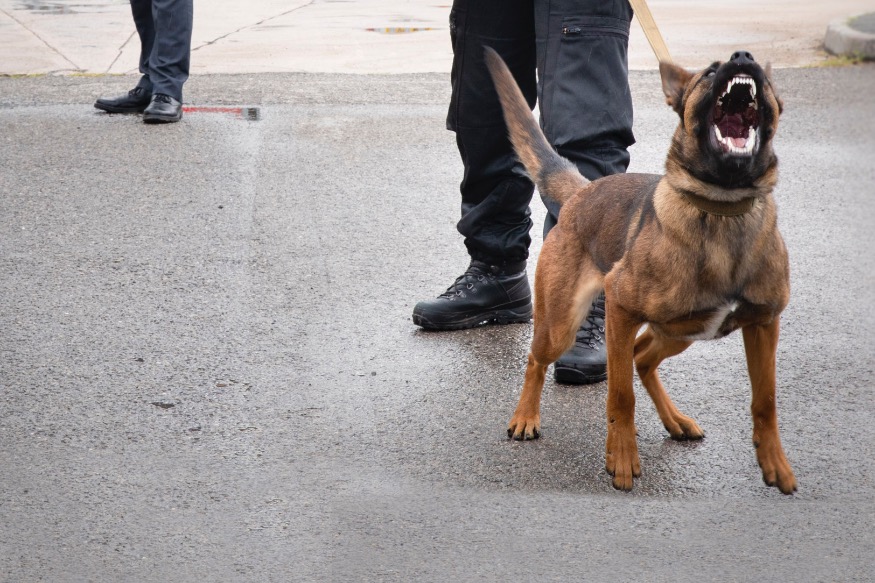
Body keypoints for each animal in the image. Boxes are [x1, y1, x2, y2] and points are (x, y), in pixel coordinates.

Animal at [485, 47, 796, 494]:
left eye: (766, 82)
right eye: (710, 71)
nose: (743, 57)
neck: (722, 207)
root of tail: (583, 191)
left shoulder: (764, 324)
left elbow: (765, 401)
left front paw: (775, 464)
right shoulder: (620, 308)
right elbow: (620, 396)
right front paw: (622, 459)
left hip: (680, 330)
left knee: (642, 357)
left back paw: (675, 420)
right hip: (562, 325)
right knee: (539, 359)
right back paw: (526, 417)